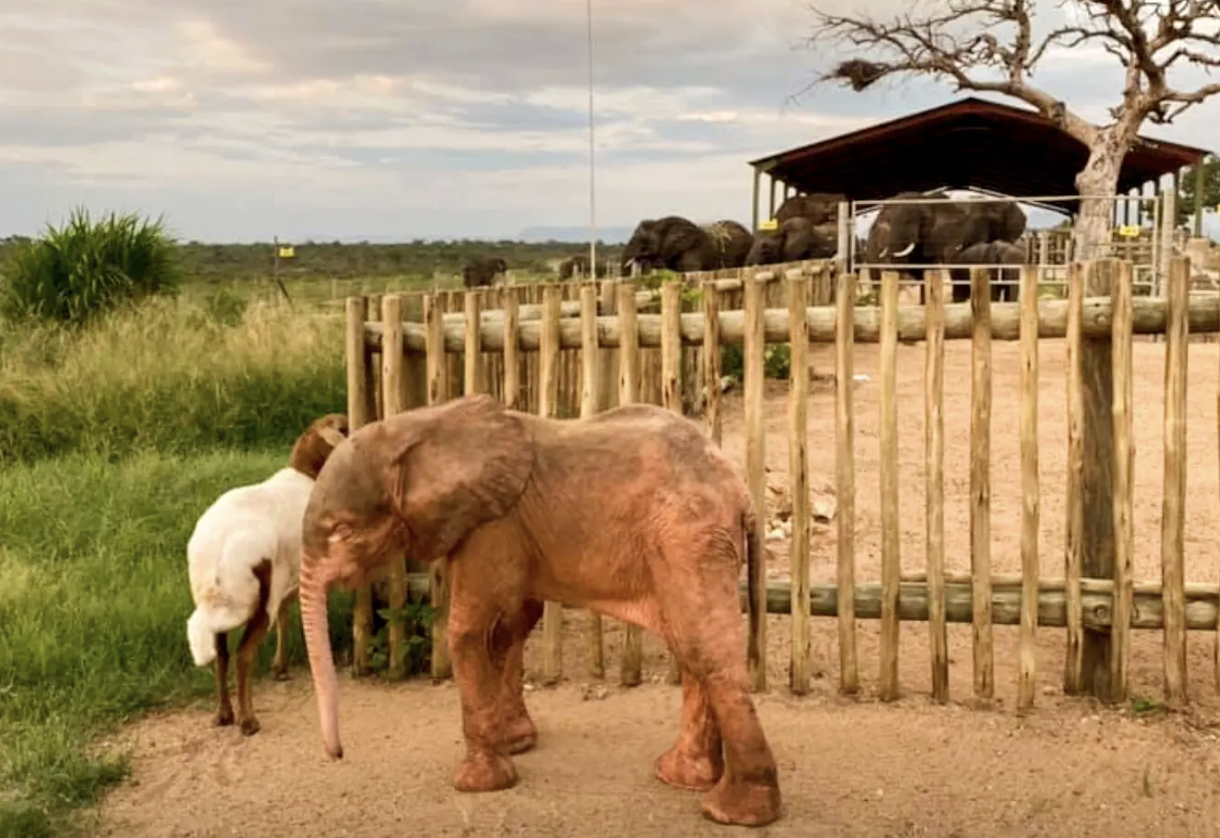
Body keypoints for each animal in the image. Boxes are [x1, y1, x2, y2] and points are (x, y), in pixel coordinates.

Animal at [296, 394, 783, 828]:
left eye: (341, 531)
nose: (338, 754)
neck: (418, 425)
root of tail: (741, 490)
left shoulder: (491, 526)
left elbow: (468, 630)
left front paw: (477, 785)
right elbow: (511, 624)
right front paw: (516, 745)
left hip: (689, 536)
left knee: (704, 650)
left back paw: (732, 813)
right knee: (689, 644)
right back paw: (682, 777)